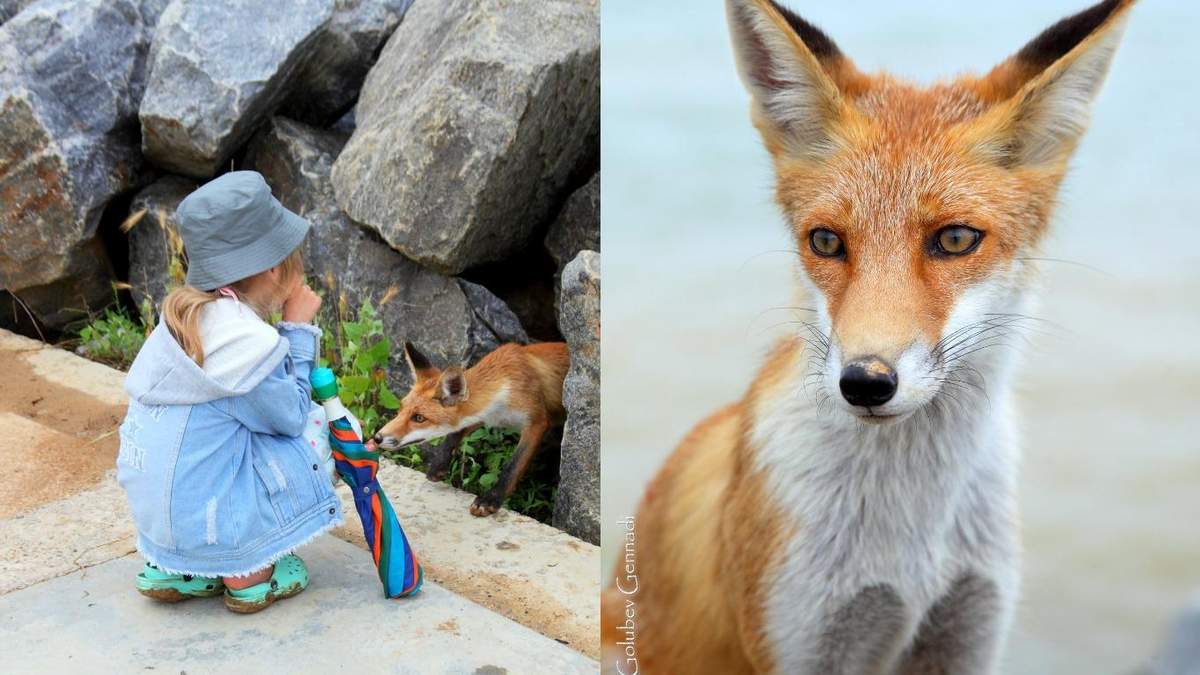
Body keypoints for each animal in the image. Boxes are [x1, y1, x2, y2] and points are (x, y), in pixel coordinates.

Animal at [372, 341, 568, 514]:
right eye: (400, 410)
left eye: (419, 418)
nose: (377, 438)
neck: (504, 383)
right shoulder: (483, 416)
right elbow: (454, 434)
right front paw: (439, 464)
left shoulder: (536, 421)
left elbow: (513, 465)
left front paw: (491, 498)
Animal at [604, 1, 1137, 672]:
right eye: (826, 241)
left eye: (955, 239)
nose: (864, 382)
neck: (913, 537)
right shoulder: (803, 642)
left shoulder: (966, 632)